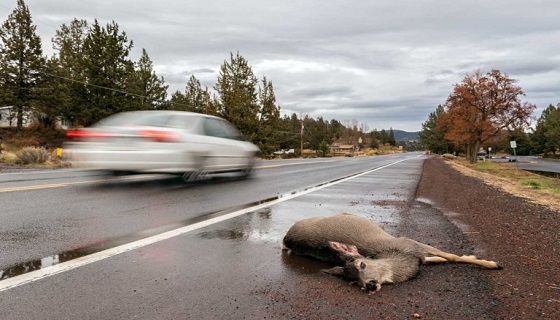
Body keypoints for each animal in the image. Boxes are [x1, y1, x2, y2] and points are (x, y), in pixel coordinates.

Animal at [282, 214, 500, 292]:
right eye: (353, 282)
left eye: (362, 264)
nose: (369, 285)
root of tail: (286, 238)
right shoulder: (411, 246)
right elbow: (440, 257)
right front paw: (488, 262)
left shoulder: (410, 242)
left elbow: (448, 256)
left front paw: (489, 262)